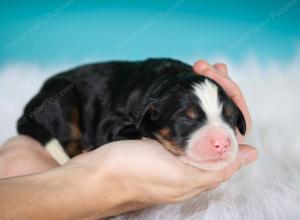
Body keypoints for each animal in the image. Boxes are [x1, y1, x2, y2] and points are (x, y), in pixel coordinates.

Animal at [17, 58, 246, 170]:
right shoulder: (110, 122)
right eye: (185, 119)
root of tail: (28, 108)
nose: (222, 143)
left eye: (230, 117)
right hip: (62, 96)